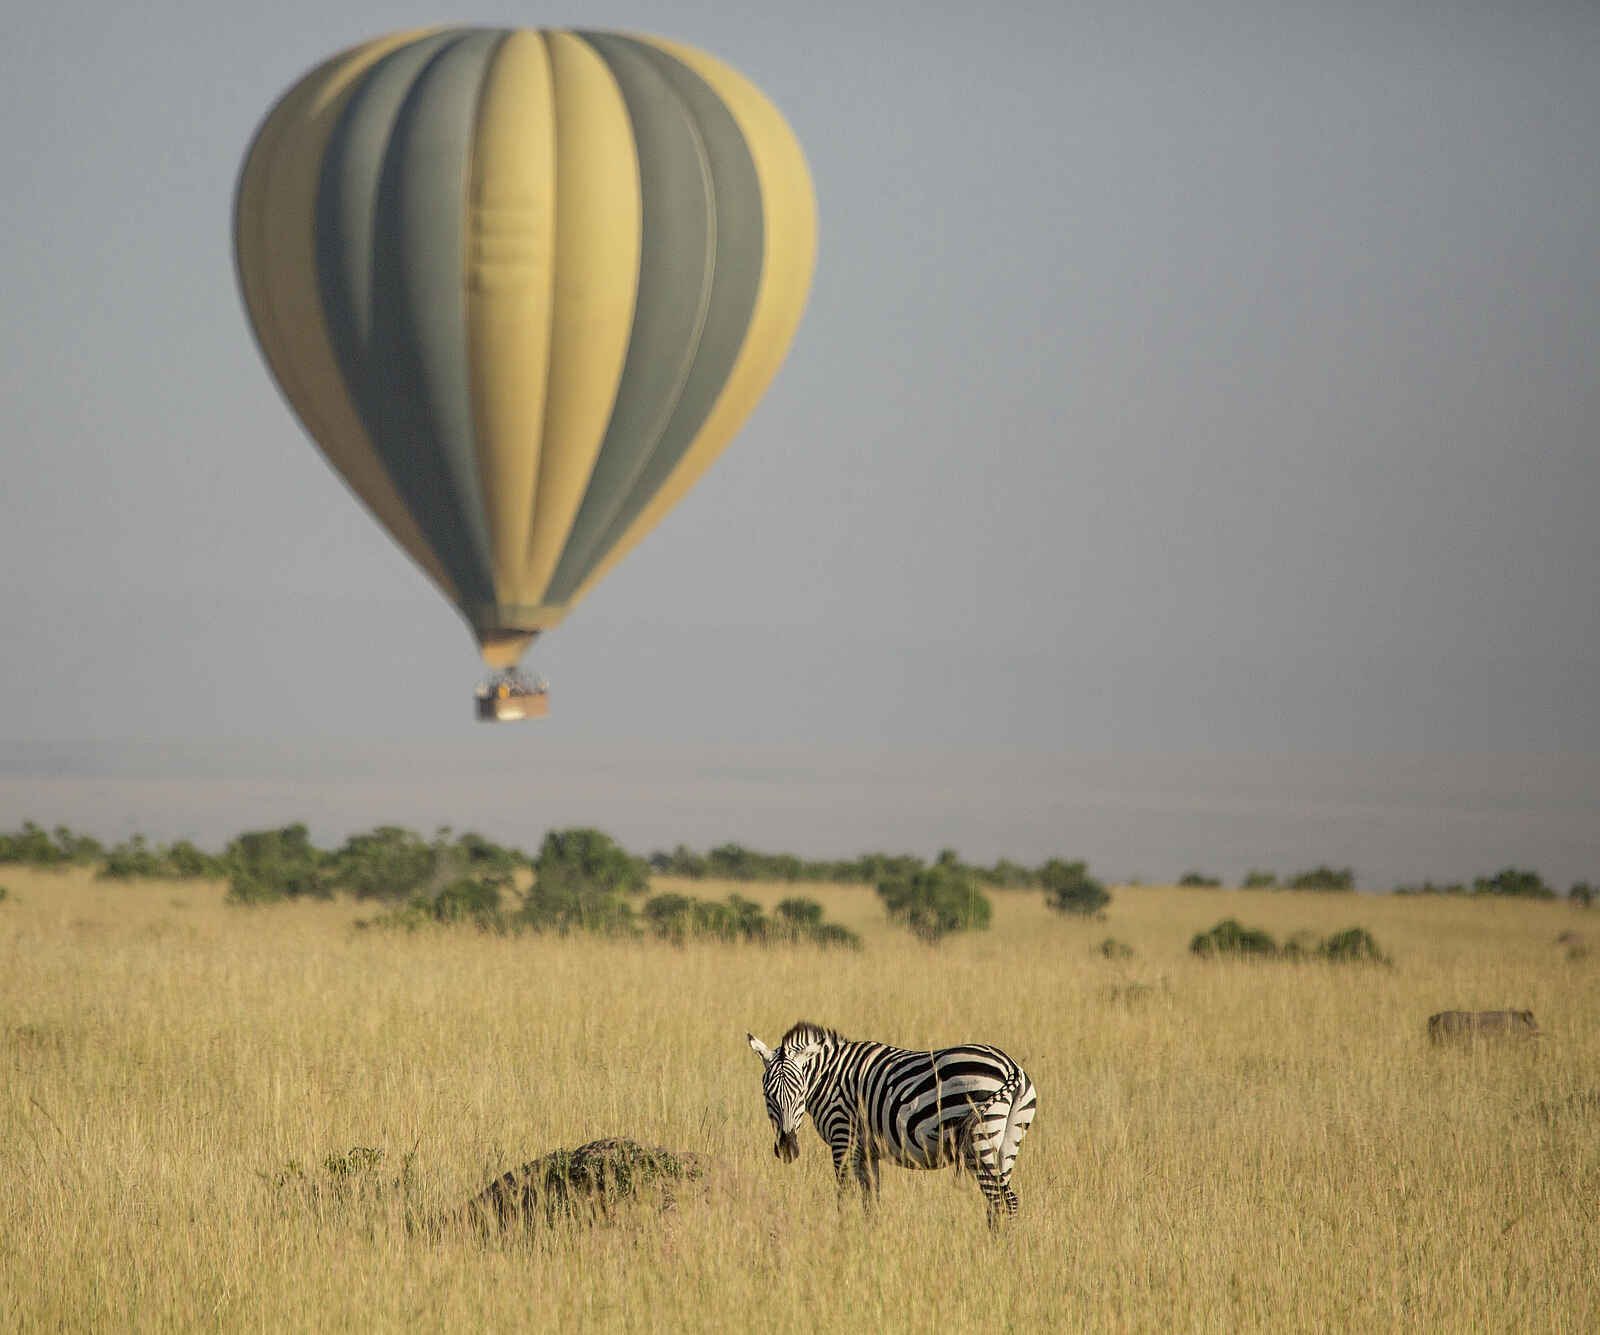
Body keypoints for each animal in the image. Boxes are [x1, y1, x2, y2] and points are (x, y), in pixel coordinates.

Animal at [746, 1020, 1037, 1223]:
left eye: (800, 1095)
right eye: (767, 1095)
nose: (787, 1148)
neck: (830, 1076)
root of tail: (1011, 1068)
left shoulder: (843, 1137)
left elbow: (844, 1196)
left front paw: (842, 1236)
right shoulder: (867, 1151)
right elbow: (871, 1200)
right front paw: (869, 1236)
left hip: (980, 1141)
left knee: (1001, 1201)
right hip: (1007, 1141)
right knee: (1004, 1203)